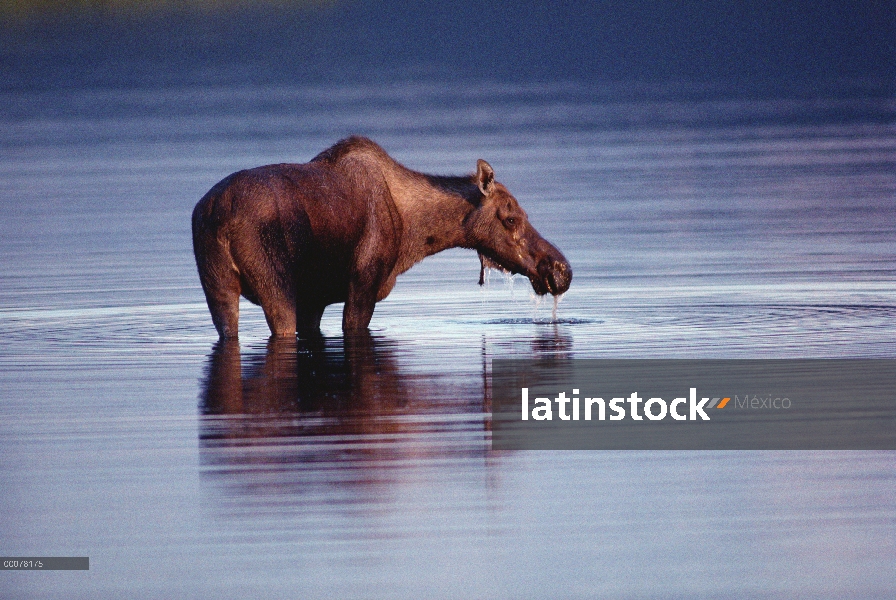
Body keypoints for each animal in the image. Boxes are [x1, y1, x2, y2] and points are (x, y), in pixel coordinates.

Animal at [192, 138, 576, 340]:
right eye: (511, 217)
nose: (561, 269)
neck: (415, 236)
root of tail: (217, 218)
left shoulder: (314, 300)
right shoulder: (364, 285)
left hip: (217, 286)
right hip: (276, 283)